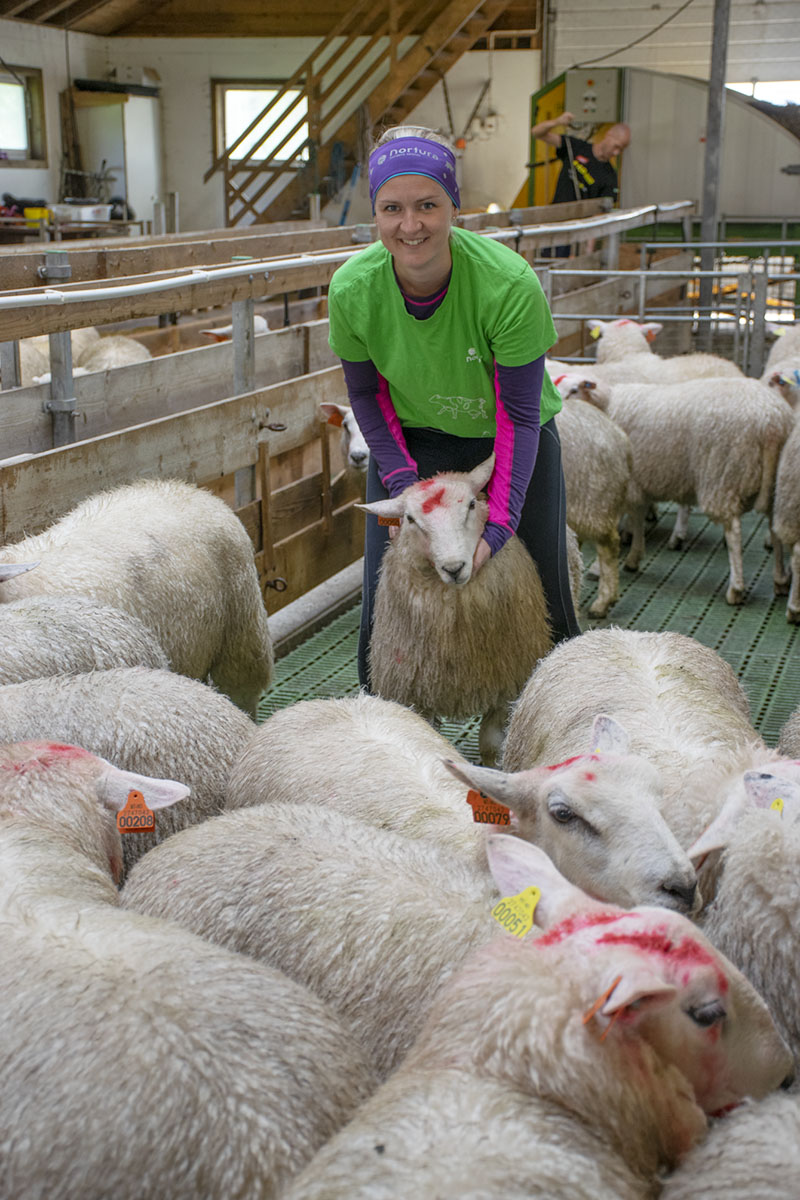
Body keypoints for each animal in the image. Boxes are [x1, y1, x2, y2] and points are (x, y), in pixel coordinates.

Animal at [359, 456, 553, 764]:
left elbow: (491, 745)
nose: (454, 568)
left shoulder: (507, 684)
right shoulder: (414, 691)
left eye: (472, 505)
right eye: (410, 519)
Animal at [579, 374, 793, 604]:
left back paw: (736, 589)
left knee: (734, 531)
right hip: (776, 484)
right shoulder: (638, 482)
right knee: (774, 527)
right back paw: (780, 580)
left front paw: (597, 569)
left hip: (723, 476)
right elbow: (638, 516)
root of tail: (772, 422)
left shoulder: (622, 482)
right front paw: (634, 557)